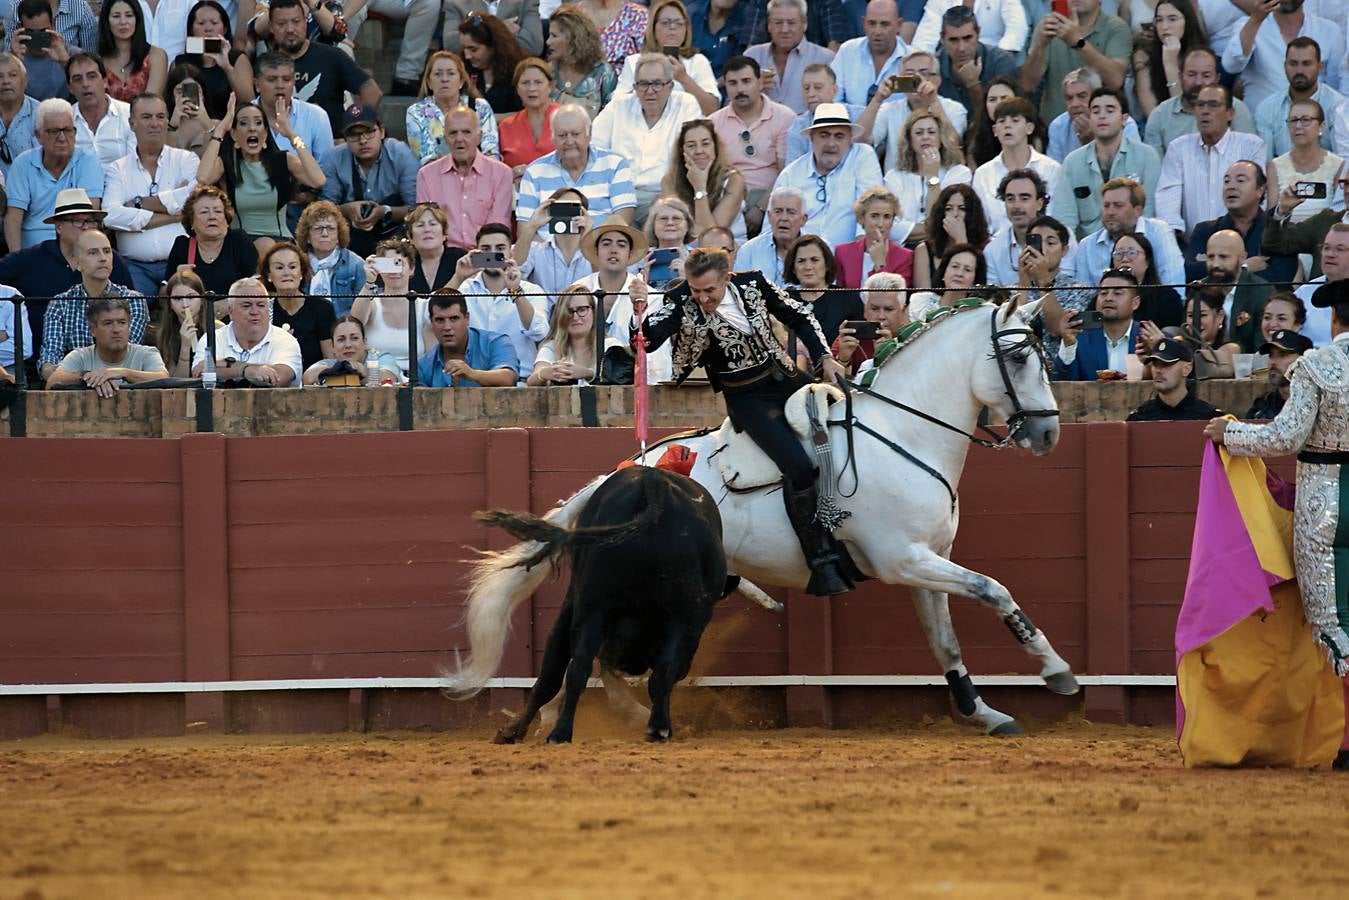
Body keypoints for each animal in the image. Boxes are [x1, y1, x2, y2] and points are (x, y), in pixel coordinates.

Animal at [480, 464, 733, 744]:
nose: (628, 664)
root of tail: (655, 482)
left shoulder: (574, 606)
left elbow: (551, 674)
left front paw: (511, 731)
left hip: (596, 607)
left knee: (579, 668)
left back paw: (563, 732)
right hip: (675, 613)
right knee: (657, 671)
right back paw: (653, 727)